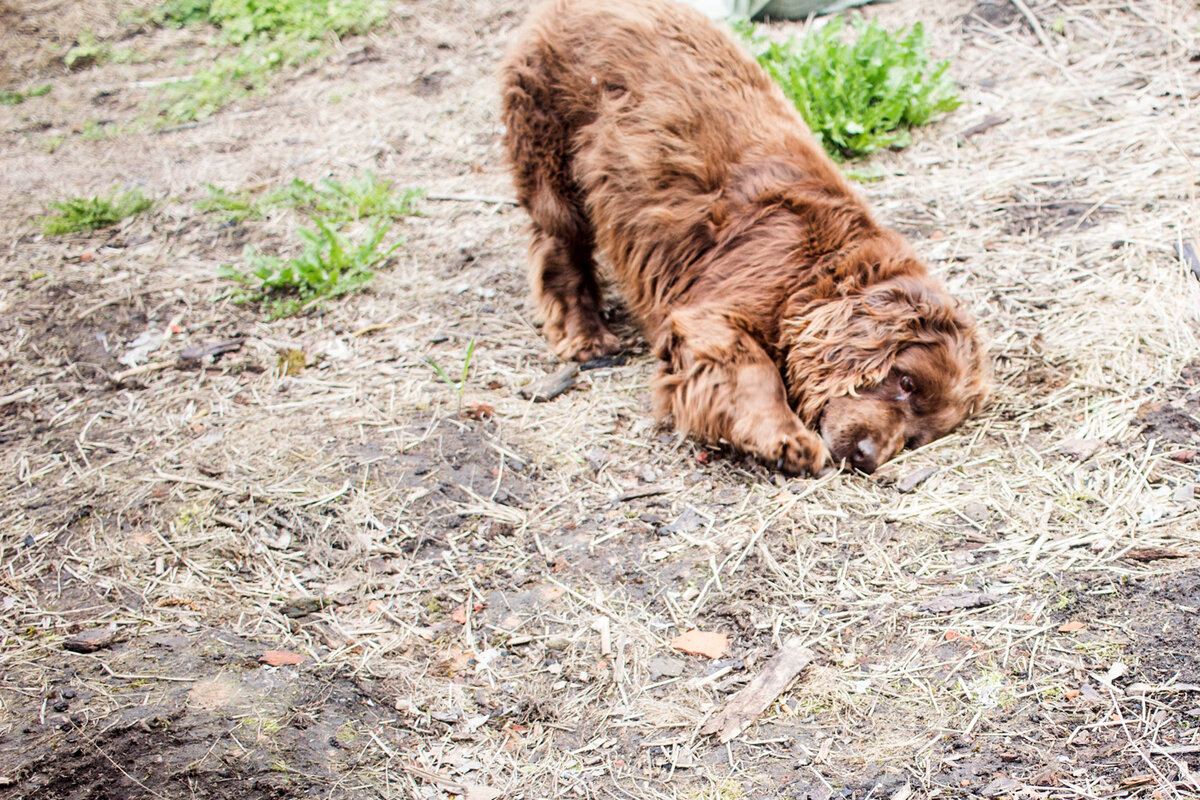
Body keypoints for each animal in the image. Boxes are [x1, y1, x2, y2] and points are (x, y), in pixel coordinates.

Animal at [496, 0, 984, 474]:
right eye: (905, 381)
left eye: (915, 438)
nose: (867, 456)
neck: (821, 268)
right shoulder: (714, 315)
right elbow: (754, 371)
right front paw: (787, 441)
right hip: (551, 141)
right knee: (561, 244)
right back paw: (587, 336)